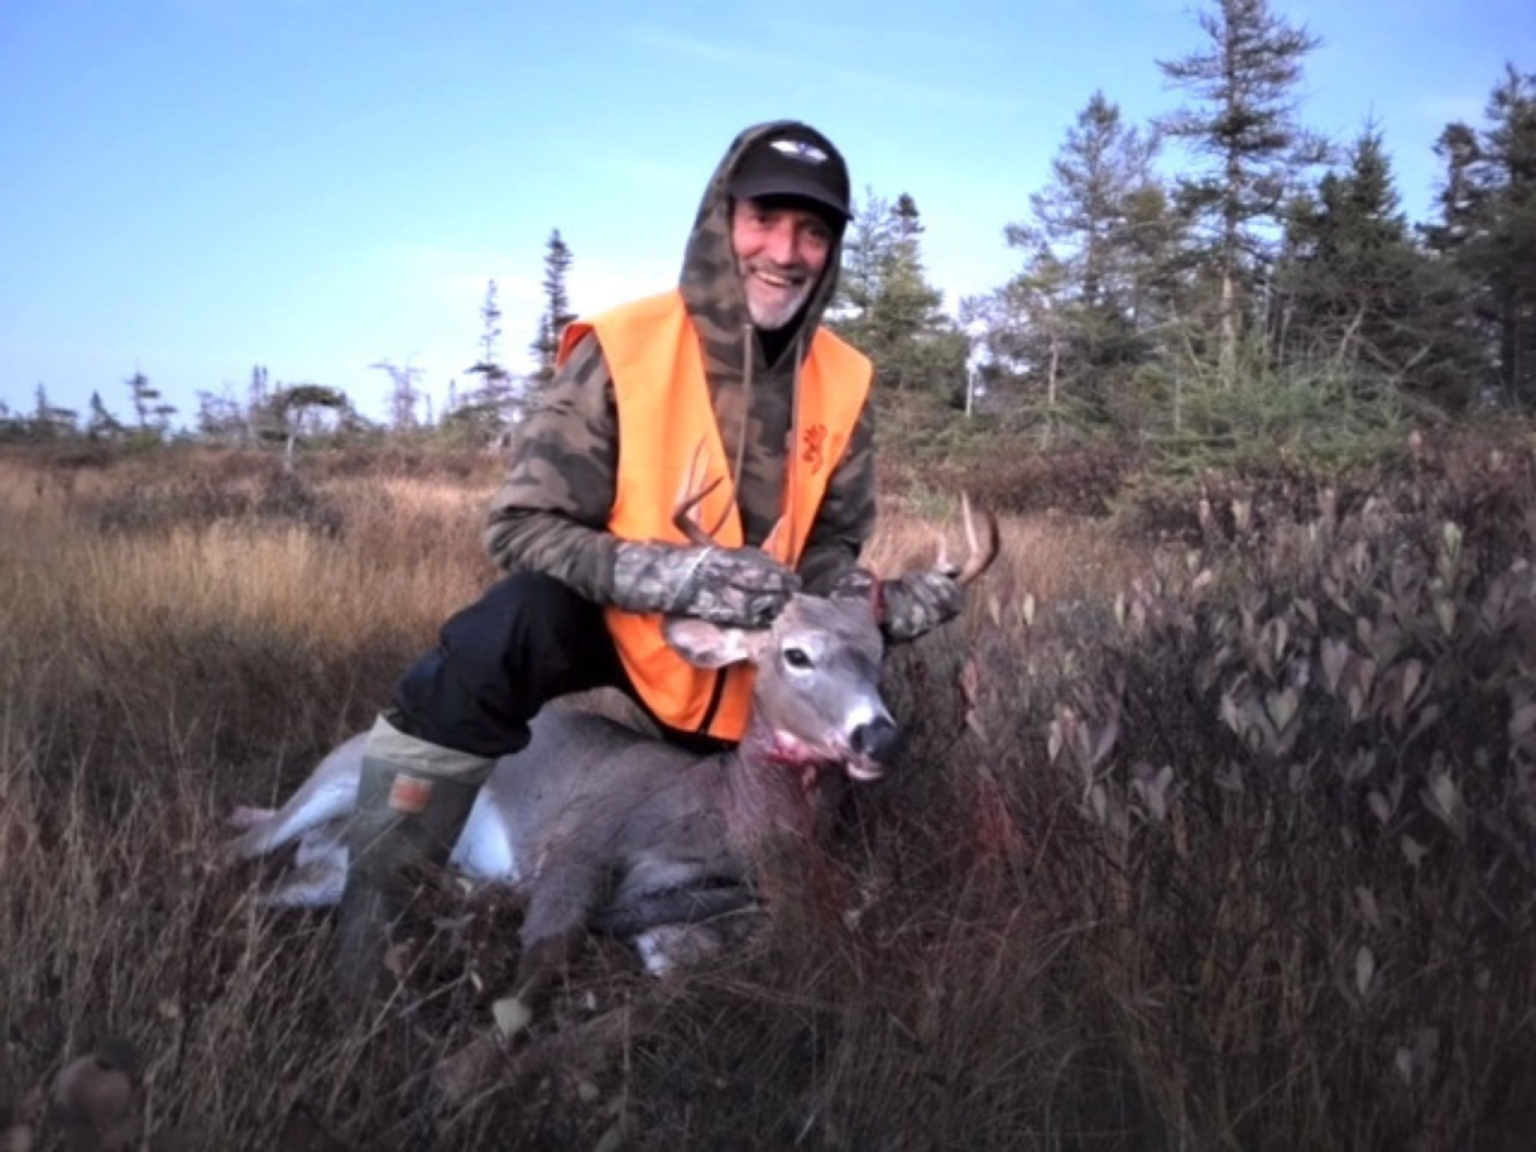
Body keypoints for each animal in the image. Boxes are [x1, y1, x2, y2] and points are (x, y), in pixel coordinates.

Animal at [222, 491, 1001, 1013]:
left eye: (878, 655)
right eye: (796, 654)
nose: (880, 735)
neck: (721, 811)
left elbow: (724, 941)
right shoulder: (582, 837)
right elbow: (539, 966)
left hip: (330, 866)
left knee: (295, 881)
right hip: (334, 779)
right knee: (240, 849)